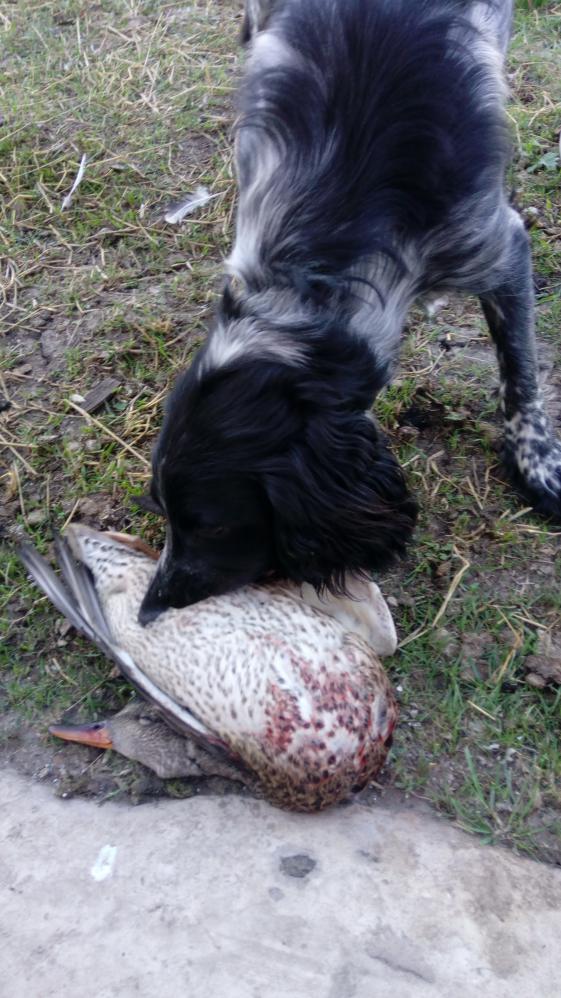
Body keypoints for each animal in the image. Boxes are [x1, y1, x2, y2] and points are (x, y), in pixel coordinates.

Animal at [138, 0, 561, 624]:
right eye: (161, 510)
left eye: (211, 526)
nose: (149, 610)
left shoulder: (500, 246)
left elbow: (521, 373)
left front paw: (538, 467)